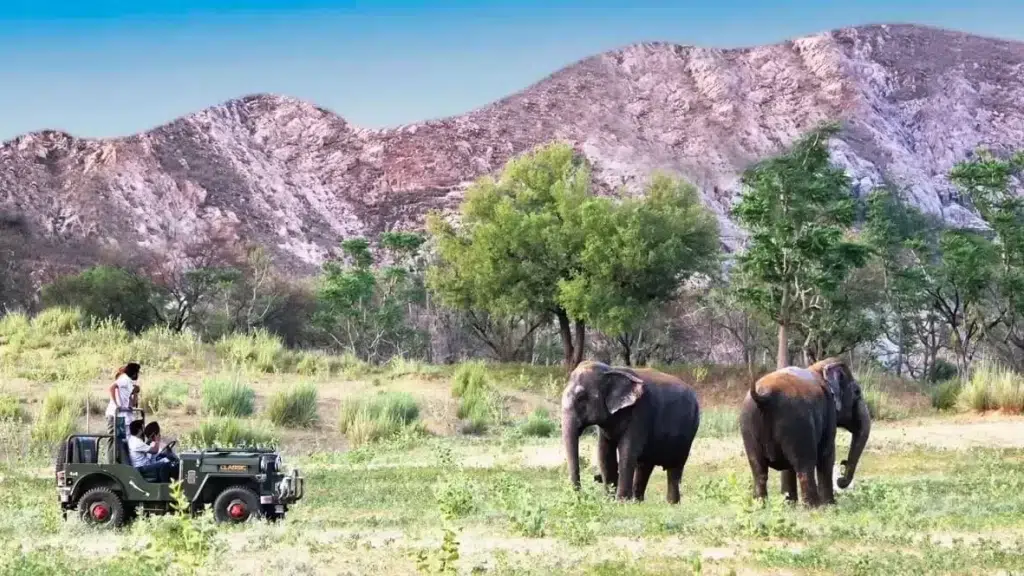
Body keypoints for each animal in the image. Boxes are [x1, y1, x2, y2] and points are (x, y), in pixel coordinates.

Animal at [560, 360, 701, 503]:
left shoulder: (640, 413)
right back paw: (638, 502)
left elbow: (627, 451)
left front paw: (620, 502)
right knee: (645, 466)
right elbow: (604, 453)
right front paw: (609, 501)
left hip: (689, 431)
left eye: (581, 397)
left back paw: (672, 504)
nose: (580, 497)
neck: (611, 370)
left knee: (675, 468)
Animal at [739, 357, 870, 507]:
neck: (818, 368)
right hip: (797, 423)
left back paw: (761, 505)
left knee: (759, 470)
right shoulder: (829, 410)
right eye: (857, 392)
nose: (843, 465)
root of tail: (763, 396)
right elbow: (827, 454)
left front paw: (790, 505)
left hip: (748, 425)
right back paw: (814, 507)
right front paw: (830, 505)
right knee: (805, 466)